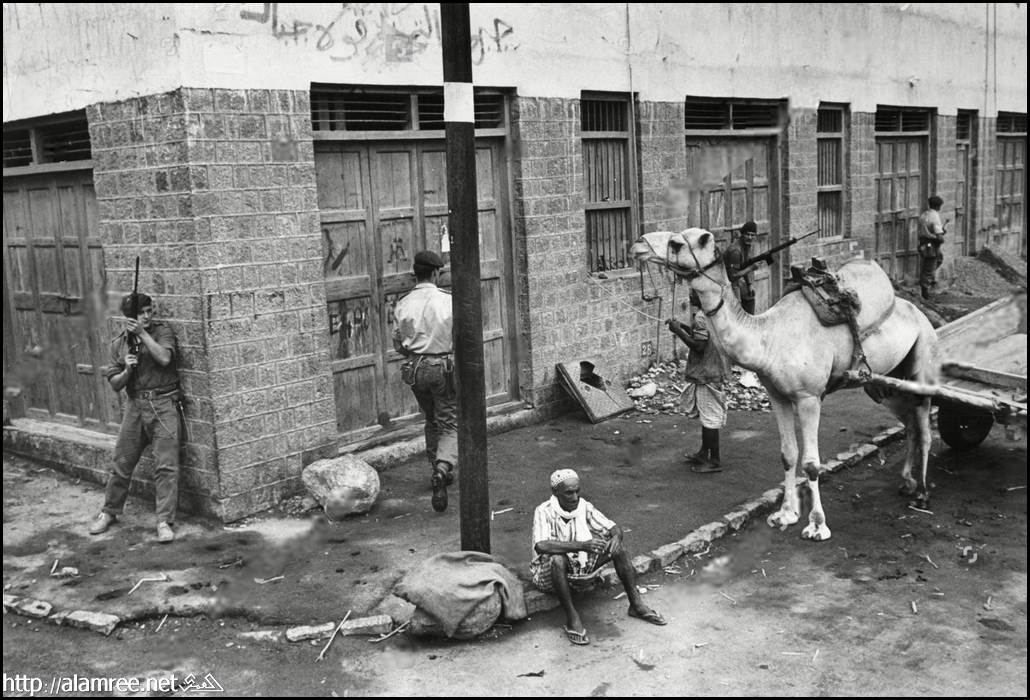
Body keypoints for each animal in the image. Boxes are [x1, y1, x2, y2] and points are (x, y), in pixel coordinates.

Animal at [630, 229, 937, 541]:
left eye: (677, 243)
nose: (638, 244)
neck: (769, 338)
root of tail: (920, 311)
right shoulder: (777, 395)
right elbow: (788, 455)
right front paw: (785, 515)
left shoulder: (809, 397)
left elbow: (812, 464)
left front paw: (817, 526)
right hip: (885, 383)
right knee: (910, 423)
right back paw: (907, 483)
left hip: (923, 357)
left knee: (924, 426)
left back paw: (923, 494)